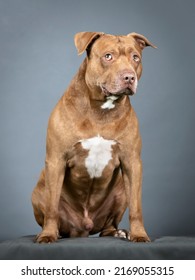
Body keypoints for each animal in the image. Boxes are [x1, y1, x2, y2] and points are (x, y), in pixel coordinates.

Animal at [32, 31, 157, 244]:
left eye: (135, 58)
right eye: (108, 56)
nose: (129, 77)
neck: (101, 110)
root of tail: (84, 228)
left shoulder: (132, 162)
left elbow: (136, 207)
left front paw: (139, 234)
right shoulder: (56, 160)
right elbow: (52, 207)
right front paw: (48, 235)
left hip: (121, 191)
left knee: (108, 226)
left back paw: (119, 232)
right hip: (38, 191)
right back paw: (52, 232)